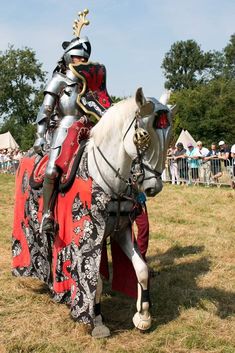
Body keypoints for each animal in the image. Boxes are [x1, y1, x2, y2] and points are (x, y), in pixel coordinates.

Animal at [11, 87, 173, 336]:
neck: (105, 176)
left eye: (170, 135)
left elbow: (142, 270)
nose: (152, 187)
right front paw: (96, 320)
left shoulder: (121, 231)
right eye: (143, 135)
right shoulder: (86, 239)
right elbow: (94, 280)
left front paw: (143, 316)